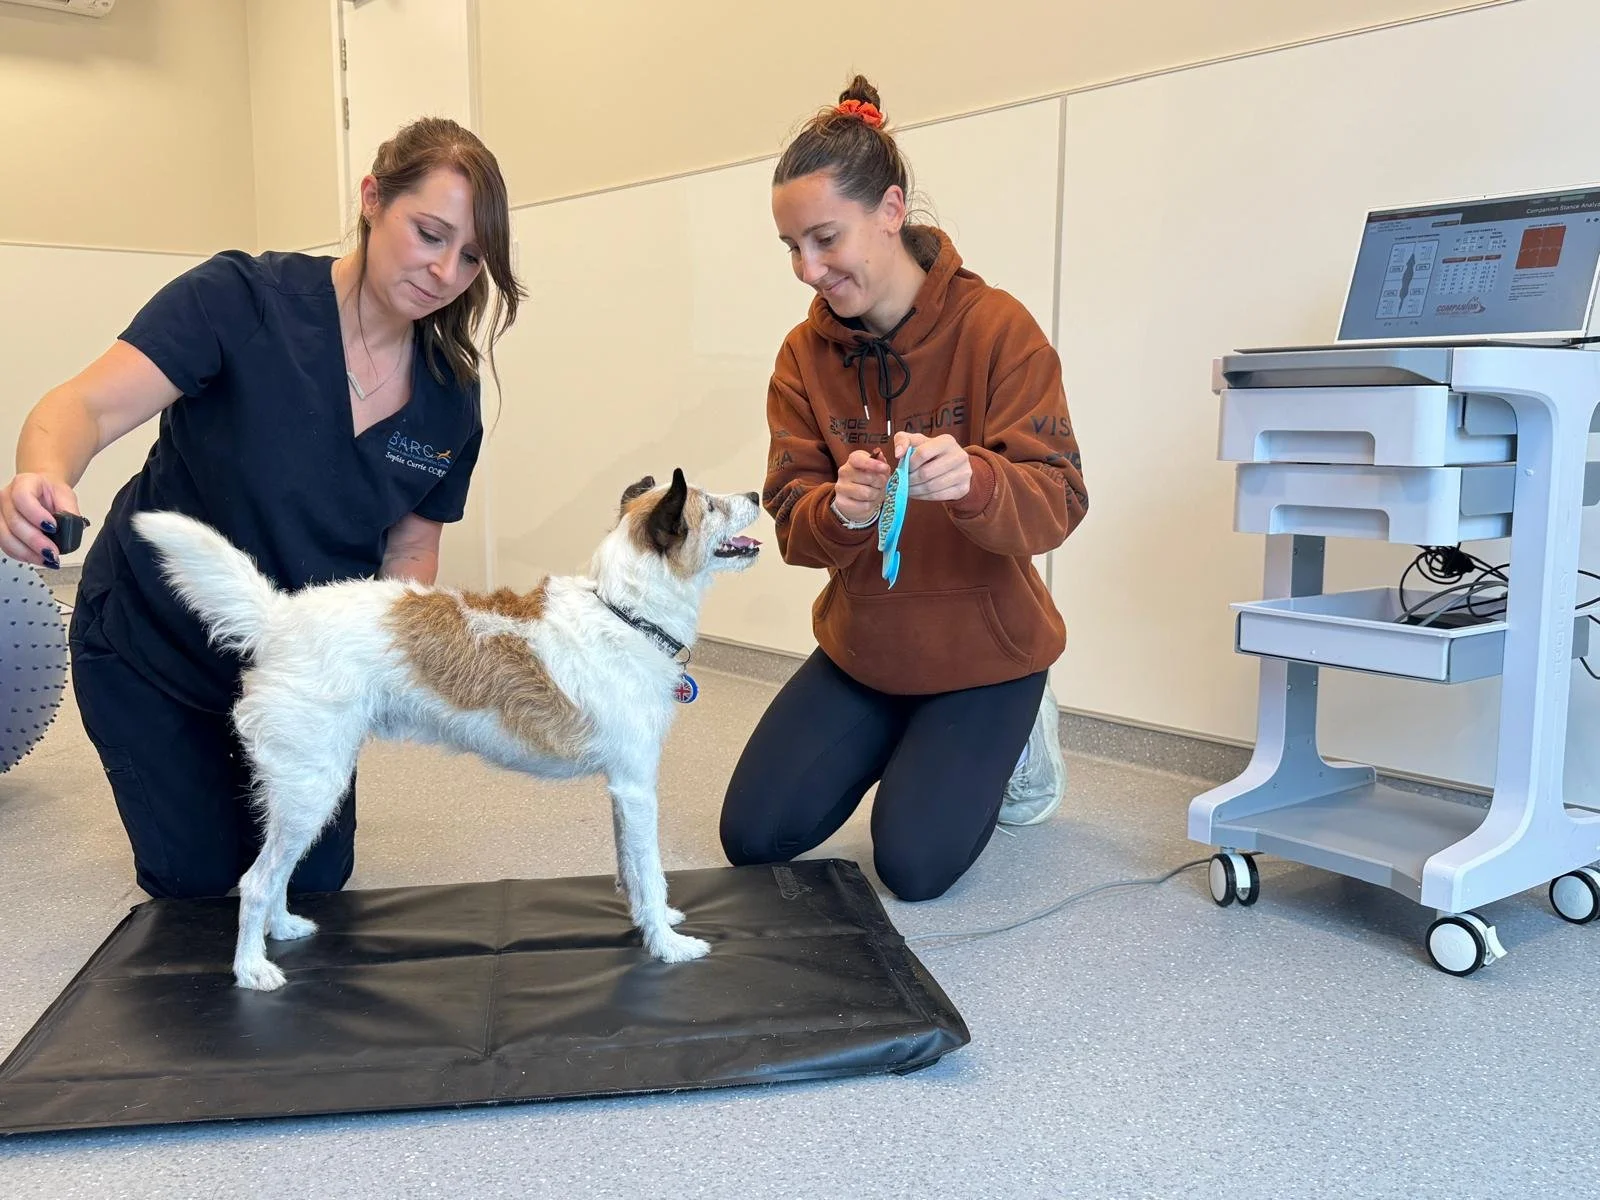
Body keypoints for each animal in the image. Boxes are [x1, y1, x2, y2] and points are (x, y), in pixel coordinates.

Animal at [132, 469, 761, 991]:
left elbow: (630, 869)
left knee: (276, 874)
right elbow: (650, 872)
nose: (756, 494)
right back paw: (251, 970)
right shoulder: (636, 786)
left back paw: (281, 928)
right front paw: (668, 946)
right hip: (312, 786)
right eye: (710, 504)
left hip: (303, 789)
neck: (625, 612)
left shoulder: (621, 791)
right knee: (256, 880)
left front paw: (649, 923)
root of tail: (279, 620)